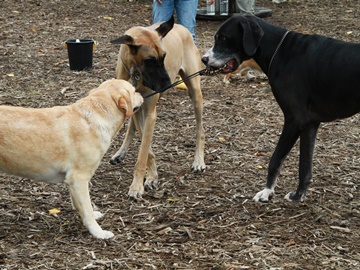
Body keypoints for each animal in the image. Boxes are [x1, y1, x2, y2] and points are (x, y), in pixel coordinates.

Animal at [0, 79, 143, 238]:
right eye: (134, 91)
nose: (142, 94)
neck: (96, 115)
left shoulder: (72, 180)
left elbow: (80, 205)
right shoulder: (79, 178)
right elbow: (87, 209)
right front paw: (98, 232)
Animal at [109, 16, 205, 198]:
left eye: (164, 56)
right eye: (150, 60)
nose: (168, 84)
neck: (135, 71)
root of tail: (182, 27)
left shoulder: (150, 113)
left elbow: (143, 151)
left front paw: (137, 185)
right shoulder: (138, 109)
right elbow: (146, 148)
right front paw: (151, 176)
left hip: (195, 93)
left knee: (200, 129)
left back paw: (199, 160)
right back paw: (120, 153)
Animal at [202, 15, 360, 202]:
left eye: (223, 38)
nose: (203, 59)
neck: (279, 50)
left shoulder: (294, 120)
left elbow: (276, 159)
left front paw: (267, 192)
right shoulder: (310, 124)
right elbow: (304, 166)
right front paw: (298, 195)